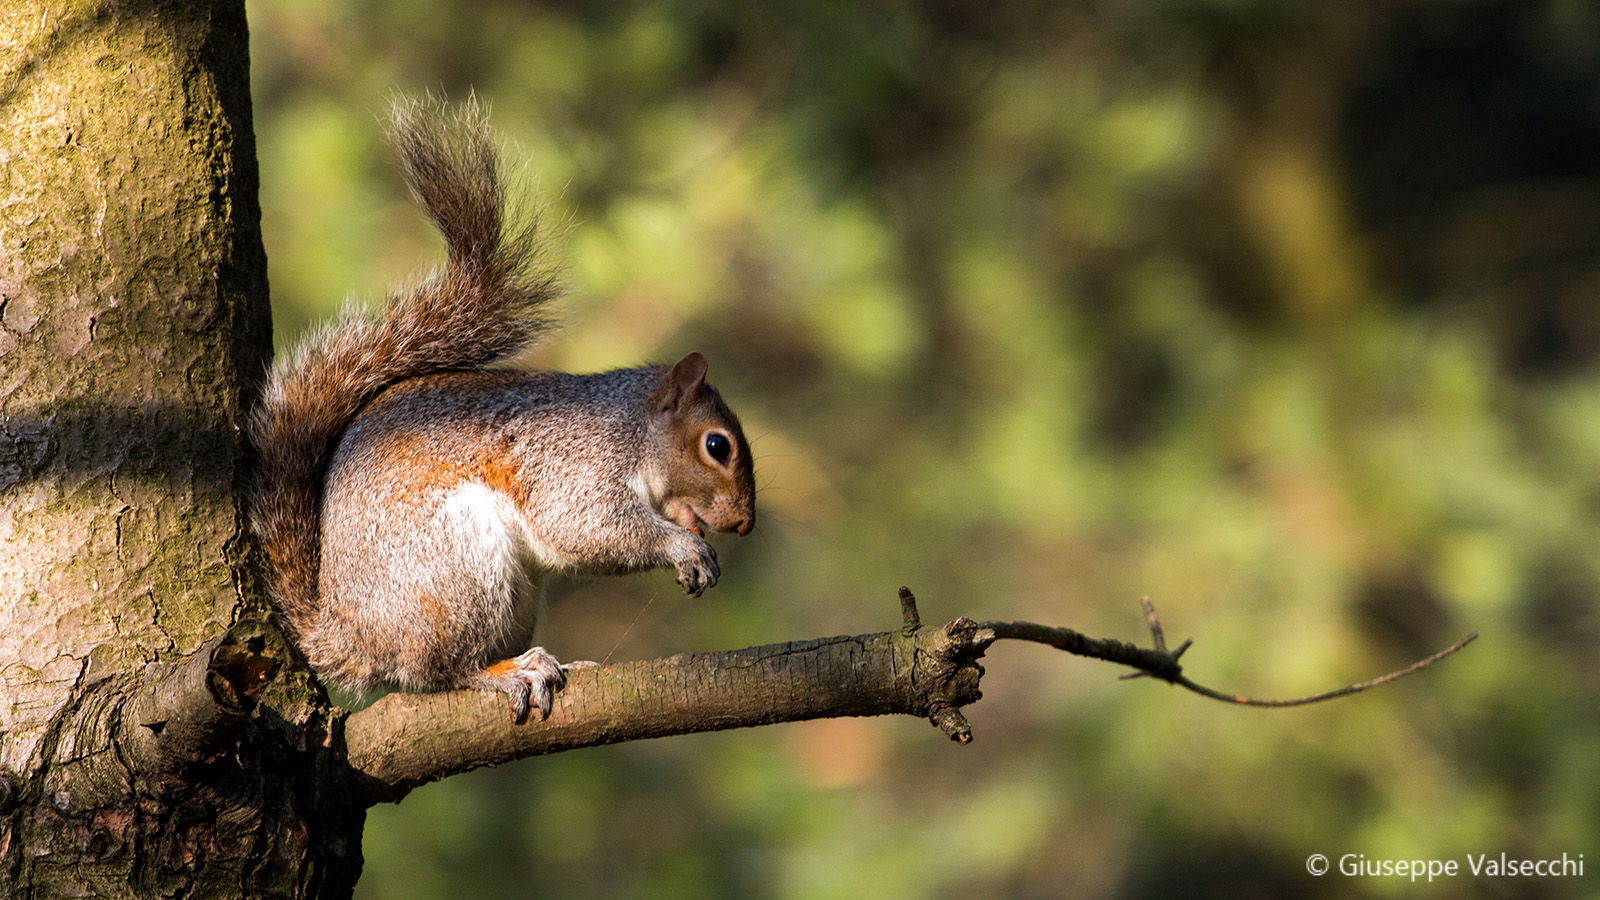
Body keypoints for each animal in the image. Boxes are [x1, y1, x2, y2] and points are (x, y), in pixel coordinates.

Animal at [248, 98, 755, 717]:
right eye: (716, 445)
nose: (745, 523)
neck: (631, 430)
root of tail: (349, 635)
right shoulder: (572, 462)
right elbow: (586, 524)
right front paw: (683, 547)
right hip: (456, 564)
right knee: (435, 671)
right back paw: (507, 672)